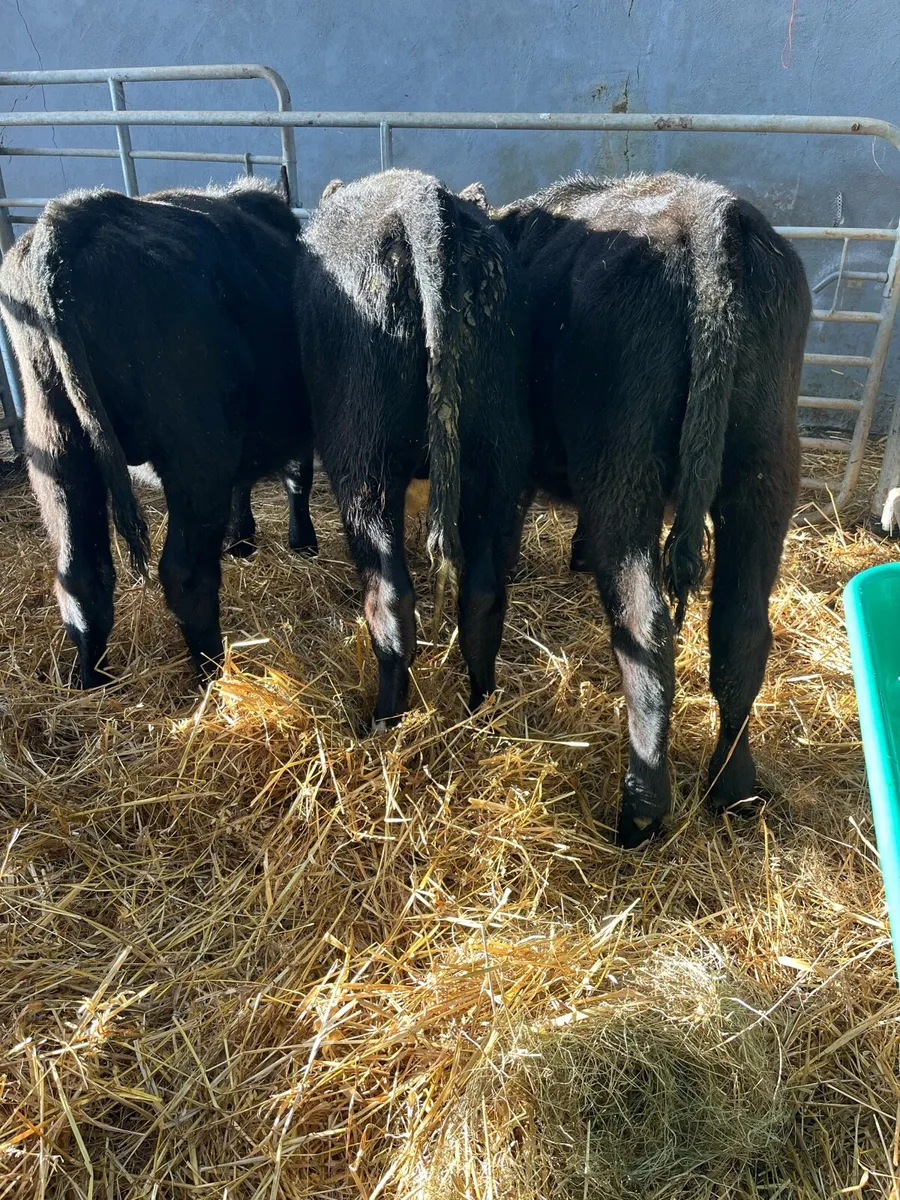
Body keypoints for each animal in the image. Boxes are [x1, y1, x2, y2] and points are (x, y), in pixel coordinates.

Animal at [0, 175, 313, 687]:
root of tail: (70, 219)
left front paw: (242, 539)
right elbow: (295, 478)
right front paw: (299, 542)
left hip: (58, 448)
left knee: (81, 575)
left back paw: (92, 680)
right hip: (195, 450)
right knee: (185, 574)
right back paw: (212, 673)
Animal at [296, 170, 531, 727]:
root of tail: (424, 200)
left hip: (365, 464)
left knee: (389, 597)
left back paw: (384, 718)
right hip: (500, 455)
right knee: (483, 593)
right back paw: (480, 707)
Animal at [472, 172, 810, 847]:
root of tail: (709, 213)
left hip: (624, 469)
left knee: (644, 627)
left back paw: (641, 809)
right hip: (765, 470)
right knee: (741, 630)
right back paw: (733, 789)